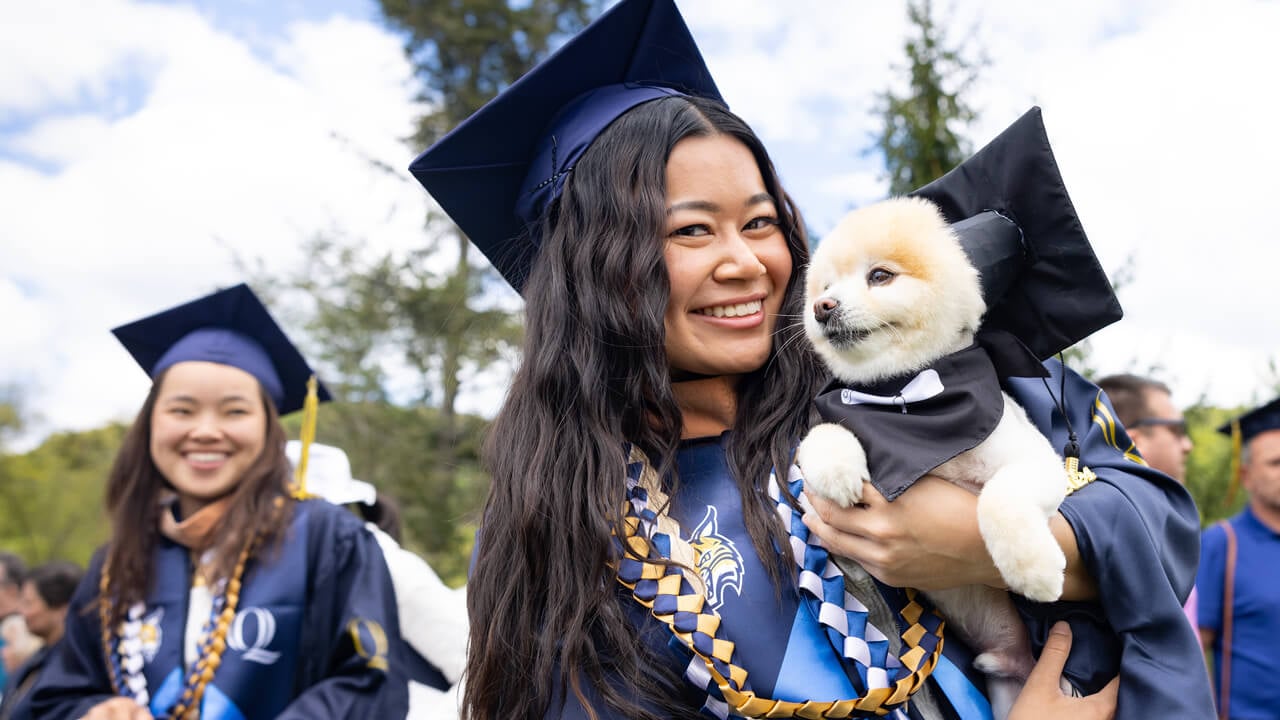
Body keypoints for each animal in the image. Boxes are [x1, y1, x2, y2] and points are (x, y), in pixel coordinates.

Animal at [793, 194, 1064, 712]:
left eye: (880, 276)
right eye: (826, 286)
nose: (822, 307)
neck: (905, 401)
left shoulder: (1041, 463)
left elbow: (1000, 497)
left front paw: (1035, 570)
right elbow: (819, 435)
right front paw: (837, 469)